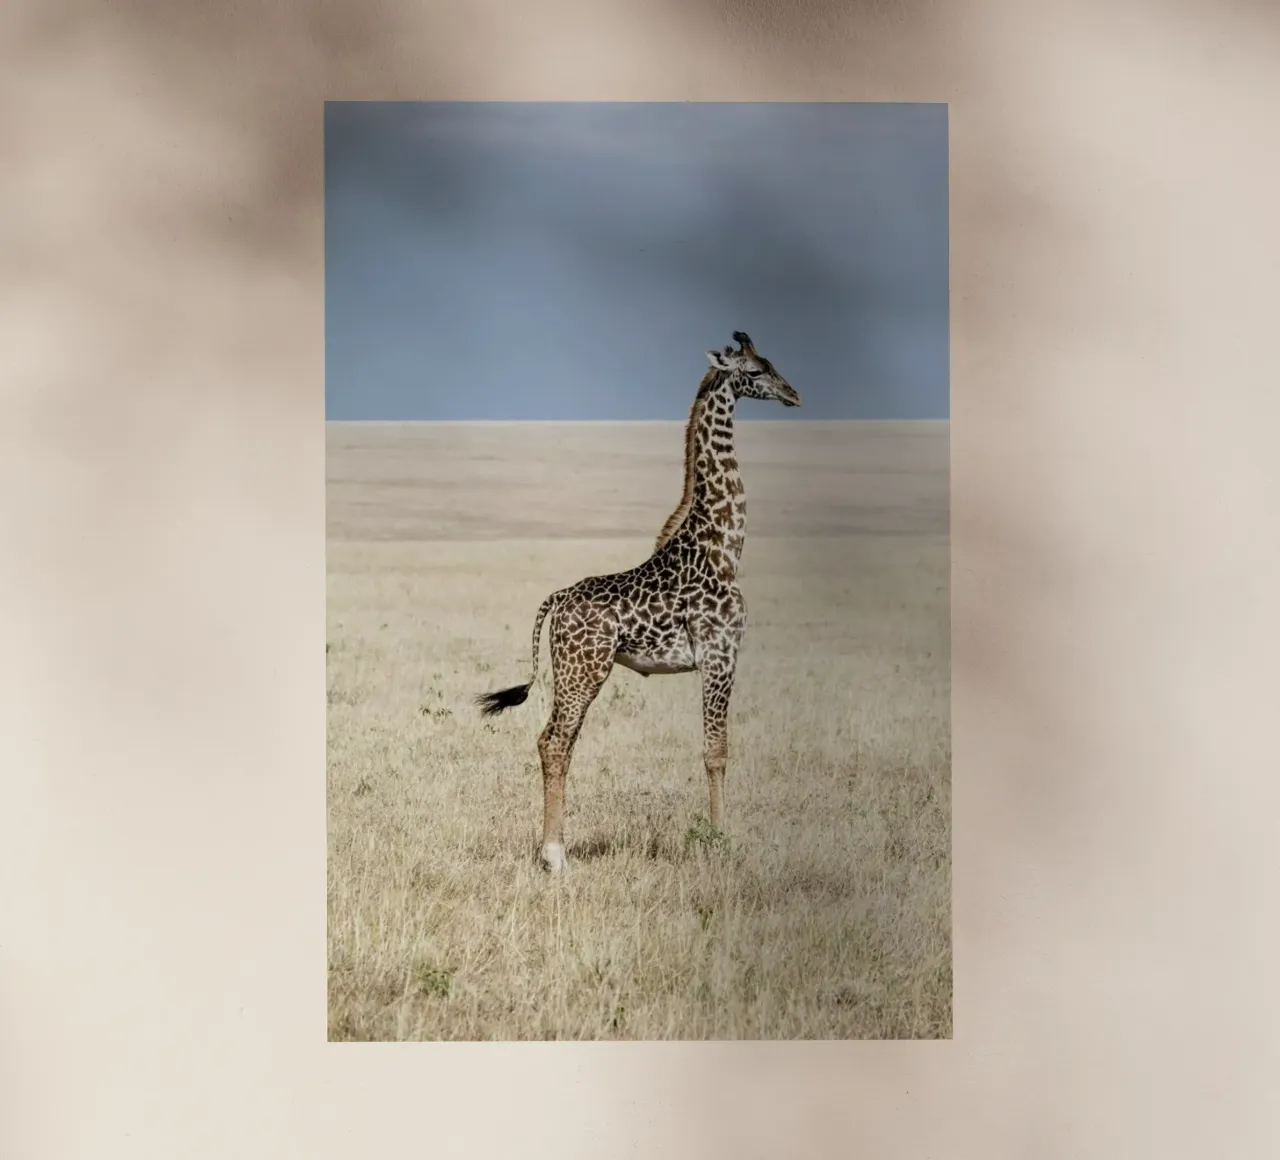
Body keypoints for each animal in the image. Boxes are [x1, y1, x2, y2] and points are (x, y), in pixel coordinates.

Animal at [475, 331, 801, 873]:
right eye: (755, 372)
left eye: (773, 364)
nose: (793, 394)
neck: (724, 548)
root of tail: (556, 600)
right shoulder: (720, 655)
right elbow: (716, 750)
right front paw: (719, 841)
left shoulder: (721, 657)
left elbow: (715, 748)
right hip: (583, 670)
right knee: (554, 741)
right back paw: (554, 855)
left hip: (575, 672)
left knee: (556, 742)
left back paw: (554, 849)